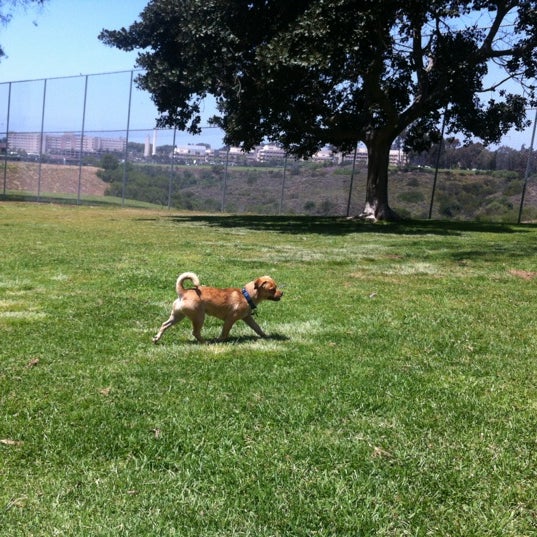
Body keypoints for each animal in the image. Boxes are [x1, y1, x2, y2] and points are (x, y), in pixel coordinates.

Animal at [153, 272, 282, 344]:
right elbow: (225, 332)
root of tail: (183, 292)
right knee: (195, 332)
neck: (246, 296)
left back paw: (156, 339)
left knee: (164, 324)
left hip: (177, 316)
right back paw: (205, 342)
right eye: (272, 289)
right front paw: (219, 340)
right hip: (199, 317)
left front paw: (266, 336)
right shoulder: (230, 319)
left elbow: (257, 328)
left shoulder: (248, 318)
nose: (282, 293)